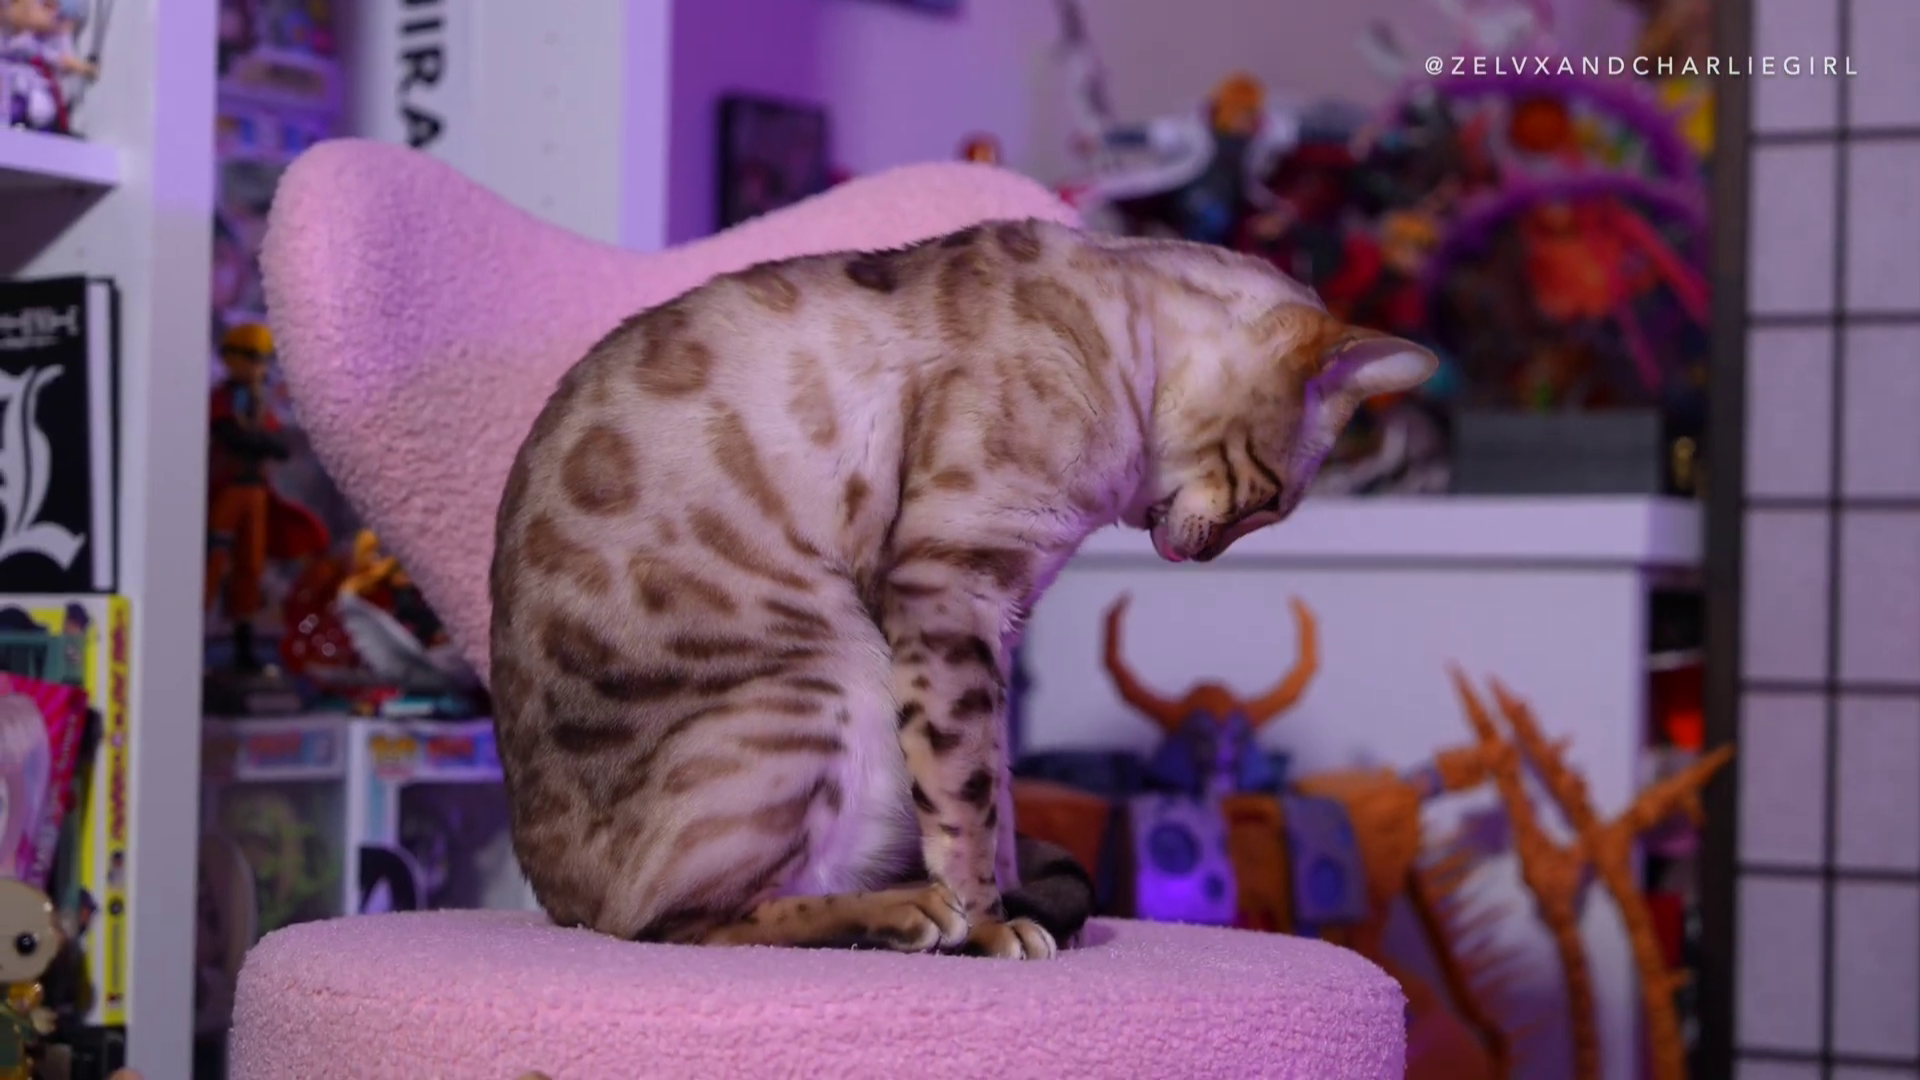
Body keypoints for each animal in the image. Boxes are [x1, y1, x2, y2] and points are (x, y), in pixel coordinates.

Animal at [488, 218, 1437, 959]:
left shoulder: (1002, 619)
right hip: (834, 675)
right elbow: (967, 793)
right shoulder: (952, 590)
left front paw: (1018, 903)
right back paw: (912, 913)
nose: (1199, 561)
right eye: (1273, 501)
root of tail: (553, 900)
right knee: (676, 920)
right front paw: (989, 925)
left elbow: (1004, 795)